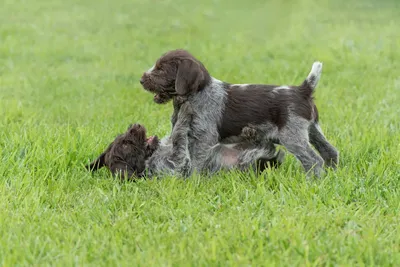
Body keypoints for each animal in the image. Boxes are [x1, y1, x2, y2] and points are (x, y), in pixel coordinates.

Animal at [85, 101, 282, 181]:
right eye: (126, 144)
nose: (136, 125)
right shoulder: (175, 163)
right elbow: (179, 137)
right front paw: (185, 112)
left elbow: (172, 136)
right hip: (251, 163)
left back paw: (251, 132)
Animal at [140, 49, 338, 178]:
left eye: (161, 69)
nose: (141, 80)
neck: (197, 94)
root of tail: (303, 90)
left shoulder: (204, 138)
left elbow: (195, 161)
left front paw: (192, 180)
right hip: (313, 130)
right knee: (330, 152)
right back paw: (333, 174)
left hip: (292, 136)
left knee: (314, 160)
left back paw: (313, 181)